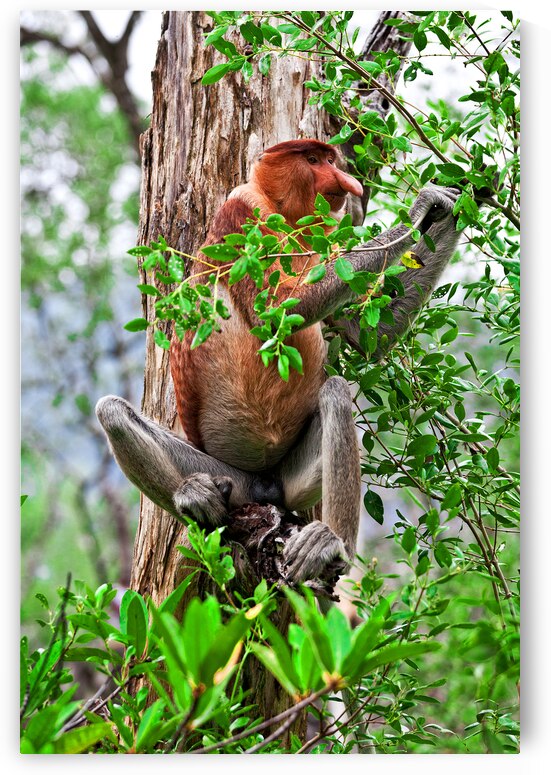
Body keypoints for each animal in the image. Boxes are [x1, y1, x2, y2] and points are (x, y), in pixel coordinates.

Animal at [96, 139, 460, 584]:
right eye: (313, 160)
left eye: (329, 159)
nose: (345, 181)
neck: (283, 213)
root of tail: (265, 485)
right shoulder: (241, 211)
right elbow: (284, 309)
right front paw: (422, 206)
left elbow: (367, 336)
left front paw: (454, 202)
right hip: (230, 477)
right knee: (112, 412)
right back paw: (198, 497)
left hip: (292, 480)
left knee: (334, 394)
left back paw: (324, 541)